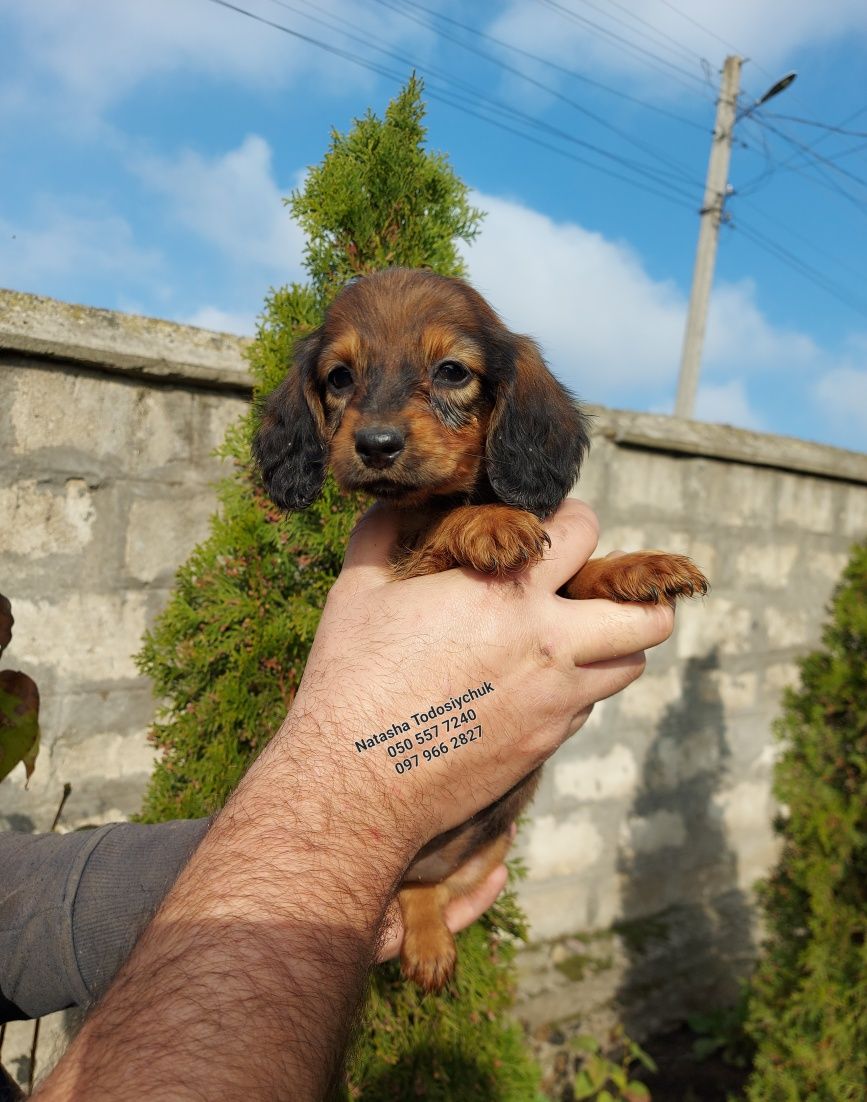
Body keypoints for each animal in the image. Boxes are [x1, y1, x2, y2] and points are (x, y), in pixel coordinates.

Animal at [254, 266, 709, 991]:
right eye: (339, 377)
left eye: (451, 371)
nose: (375, 445)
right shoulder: (409, 562)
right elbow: (446, 529)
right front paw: (489, 523)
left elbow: (577, 571)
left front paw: (639, 566)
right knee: (416, 890)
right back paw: (428, 946)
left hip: (487, 845)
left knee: (431, 888)